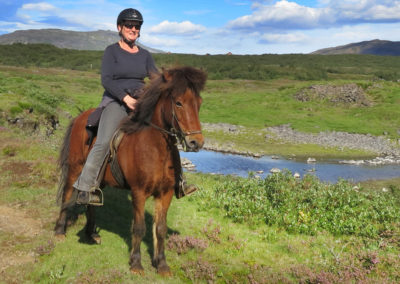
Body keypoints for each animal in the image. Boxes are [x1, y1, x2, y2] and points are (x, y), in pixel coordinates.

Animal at [54, 66, 206, 276]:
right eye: (179, 103)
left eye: (199, 103)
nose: (196, 143)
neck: (155, 148)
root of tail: (80, 117)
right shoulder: (139, 192)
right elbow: (139, 228)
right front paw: (136, 263)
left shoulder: (165, 193)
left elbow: (160, 228)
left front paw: (162, 265)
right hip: (75, 168)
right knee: (67, 193)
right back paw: (60, 231)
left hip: (99, 180)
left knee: (91, 202)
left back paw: (91, 233)